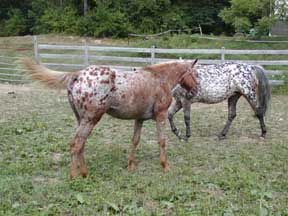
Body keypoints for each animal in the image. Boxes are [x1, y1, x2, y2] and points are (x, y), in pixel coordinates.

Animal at [20, 57, 198, 177]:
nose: (195, 90)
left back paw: (84, 174)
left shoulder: (139, 118)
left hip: (81, 120)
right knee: (76, 144)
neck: (160, 79)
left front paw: (130, 166)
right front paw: (165, 167)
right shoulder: (160, 115)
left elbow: (135, 141)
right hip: (91, 119)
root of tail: (77, 74)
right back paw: (74, 176)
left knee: (80, 144)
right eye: (193, 73)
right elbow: (161, 141)